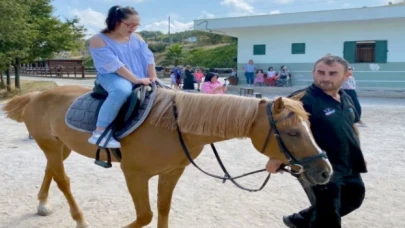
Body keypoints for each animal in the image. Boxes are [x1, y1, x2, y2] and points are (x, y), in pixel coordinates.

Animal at [3, 85, 332, 228]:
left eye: (309, 126)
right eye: (293, 133)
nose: (325, 171)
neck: (174, 125)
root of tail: (36, 94)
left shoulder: (172, 173)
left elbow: (162, 212)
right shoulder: (135, 175)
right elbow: (145, 216)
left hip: (60, 146)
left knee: (51, 171)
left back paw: (43, 204)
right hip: (49, 144)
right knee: (63, 179)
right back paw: (80, 220)